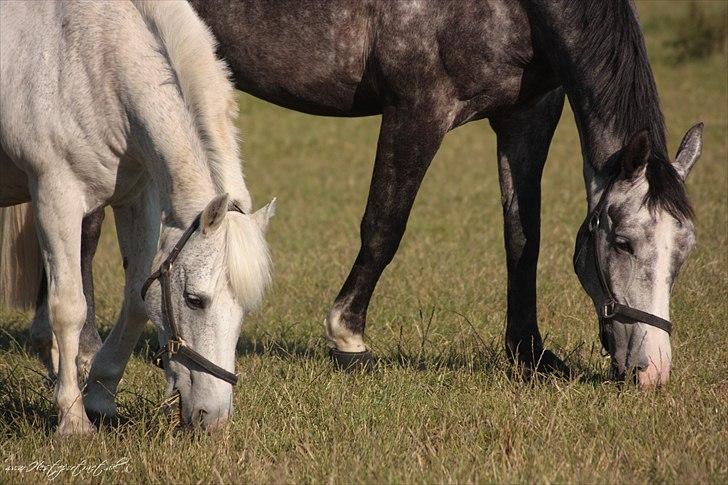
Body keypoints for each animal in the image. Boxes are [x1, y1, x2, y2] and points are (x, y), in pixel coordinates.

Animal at [0, 0, 275, 434]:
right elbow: (69, 306)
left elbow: (136, 301)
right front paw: (73, 421)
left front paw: (100, 398)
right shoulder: (55, 196)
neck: (92, 64)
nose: (213, 419)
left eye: (245, 310)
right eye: (195, 300)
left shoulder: (137, 199)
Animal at [23, 0, 703, 388]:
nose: (654, 372)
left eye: (684, 253)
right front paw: (348, 336)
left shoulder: (528, 116)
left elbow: (523, 238)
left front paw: (529, 353)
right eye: (623, 241)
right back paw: (78, 350)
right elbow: (384, 224)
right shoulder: (418, 108)